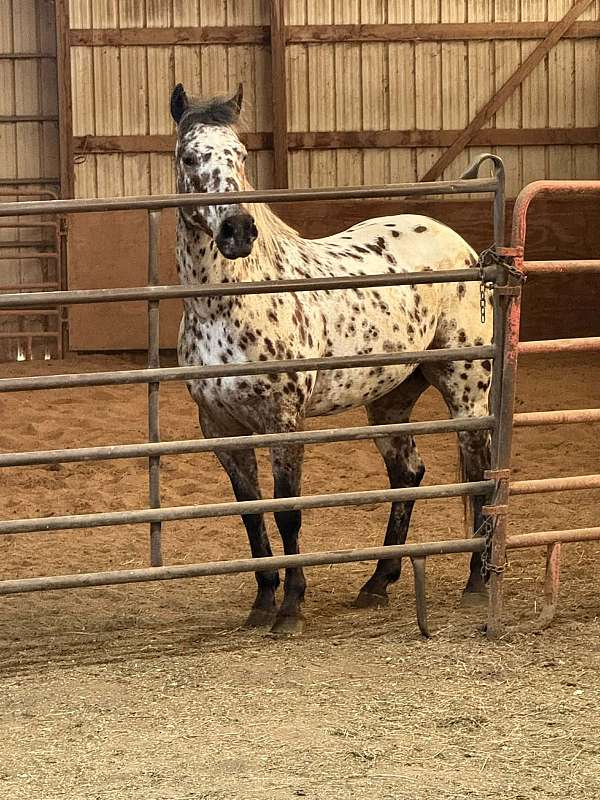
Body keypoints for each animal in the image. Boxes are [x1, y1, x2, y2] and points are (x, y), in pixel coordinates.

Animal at [170, 83, 493, 635]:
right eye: (191, 156)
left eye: (241, 155)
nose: (238, 230)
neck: (228, 304)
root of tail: (463, 248)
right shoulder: (220, 428)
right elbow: (251, 513)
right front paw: (262, 601)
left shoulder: (284, 422)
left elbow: (288, 512)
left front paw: (291, 608)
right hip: (389, 401)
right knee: (408, 474)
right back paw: (377, 582)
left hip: (467, 391)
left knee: (479, 474)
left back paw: (476, 584)